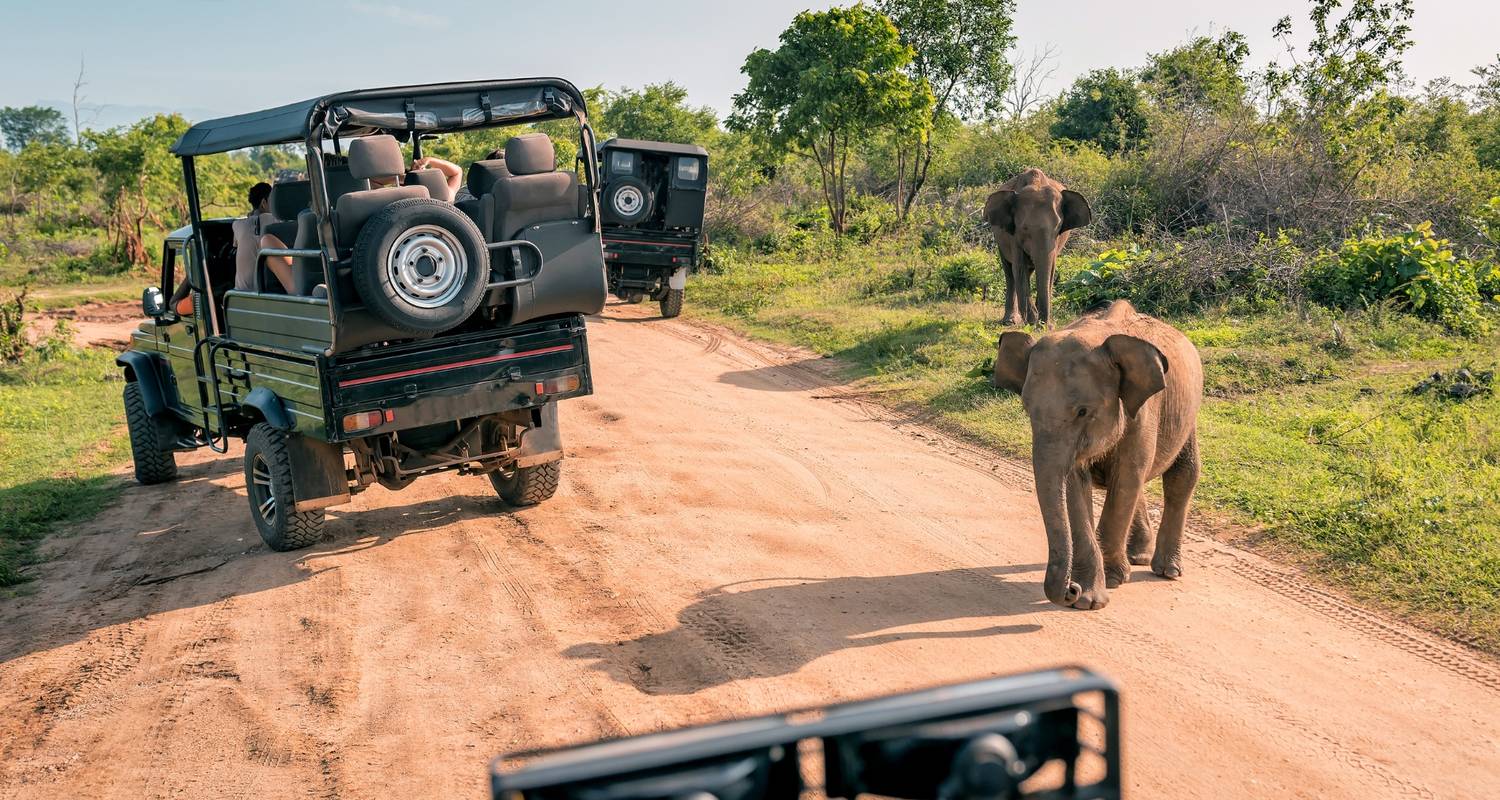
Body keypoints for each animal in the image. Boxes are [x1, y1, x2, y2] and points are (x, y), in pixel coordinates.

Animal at [984, 168, 1092, 327]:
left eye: (1059, 228)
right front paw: (1032, 321)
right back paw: (1010, 321)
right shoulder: (1013, 236)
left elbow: (1050, 270)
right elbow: (1019, 269)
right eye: (1024, 229)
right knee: (1010, 272)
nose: (1046, 325)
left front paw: (1041, 324)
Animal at [996, 303, 1206, 609]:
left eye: (1083, 411)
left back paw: (1166, 571)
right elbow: (1076, 485)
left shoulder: (1143, 413)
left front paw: (1113, 579)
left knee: (1181, 475)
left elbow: (1127, 478)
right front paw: (1088, 598)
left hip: (1188, 415)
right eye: (1027, 410)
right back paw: (1138, 557)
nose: (1069, 590)